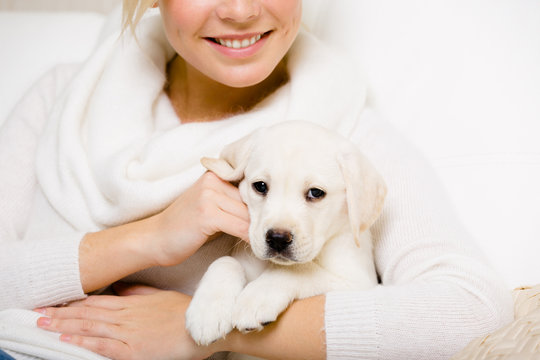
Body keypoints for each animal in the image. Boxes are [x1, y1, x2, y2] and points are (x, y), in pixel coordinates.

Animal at [187, 120, 388, 352]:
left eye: (316, 193)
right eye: (260, 186)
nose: (277, 239)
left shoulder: (357, 282)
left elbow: (298, 269)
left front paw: (256, 298)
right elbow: (225, 261)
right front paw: (208, 311)